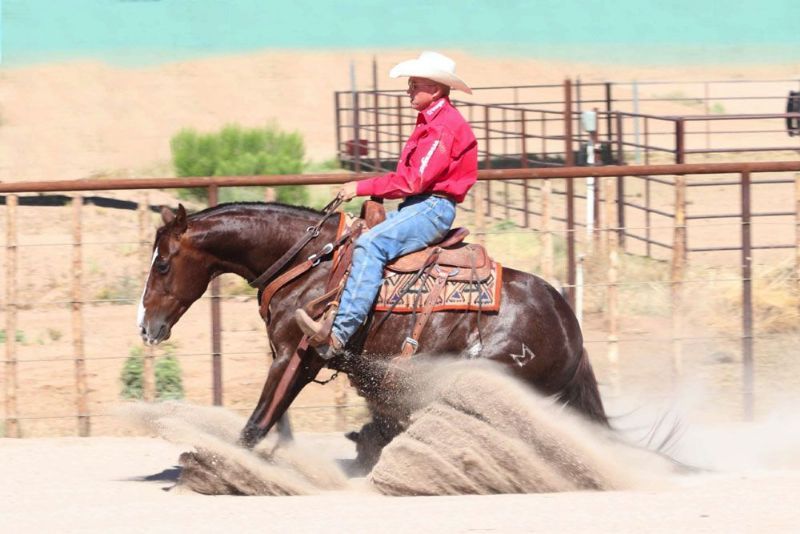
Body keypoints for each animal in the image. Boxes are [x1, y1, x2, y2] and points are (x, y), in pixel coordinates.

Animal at [138, 201, 608, 467]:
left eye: (162, 264)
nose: (145, 326)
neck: (311, 264)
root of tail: (570, 326)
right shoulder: (294, 359)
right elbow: (274, 417)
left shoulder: (296, 356)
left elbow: (257, 423)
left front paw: (214, 466)